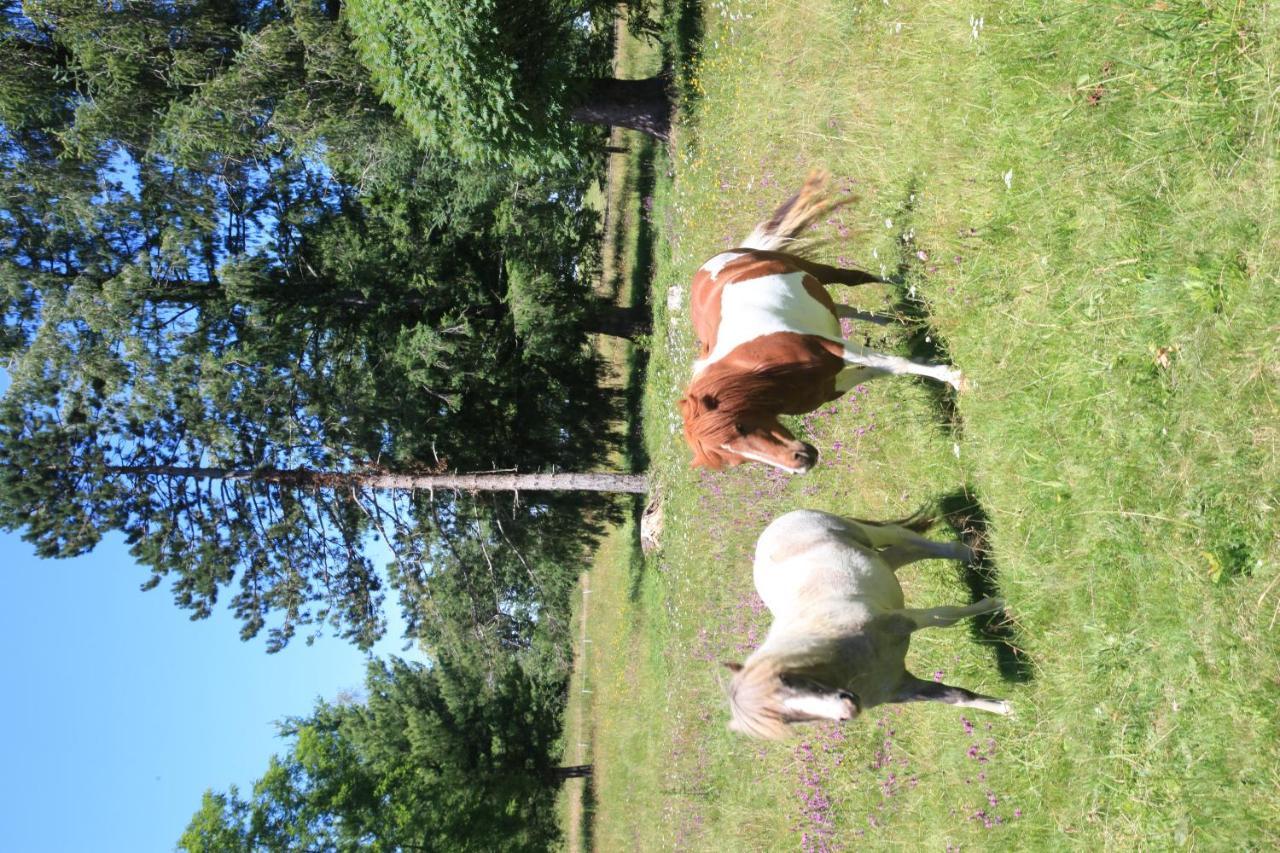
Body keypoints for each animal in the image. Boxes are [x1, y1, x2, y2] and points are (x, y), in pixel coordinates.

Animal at [680, 171, 962, 471]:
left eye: (740, 426)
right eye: (737, 461)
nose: (801, 462)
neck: (764, 370)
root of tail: (714, 262)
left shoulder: (835, 347)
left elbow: (897, 363)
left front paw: (955, 378)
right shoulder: (833, 385)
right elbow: (886, 369)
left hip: (814, 270)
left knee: (854, 278)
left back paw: (904, 283)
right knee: (844, 308)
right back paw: (893, 320)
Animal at [732, 507, 1008, 732]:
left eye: (787, 680)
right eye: (786, 719)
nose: (848, 710)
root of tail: (774, 527)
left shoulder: (903, 620)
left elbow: (945, 617)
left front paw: (997, 603)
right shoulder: (900, 687)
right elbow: (957, 697)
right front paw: (1006, 708)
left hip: (871, 534)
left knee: (902, 537)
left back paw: (970, 554)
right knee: (904, 553)